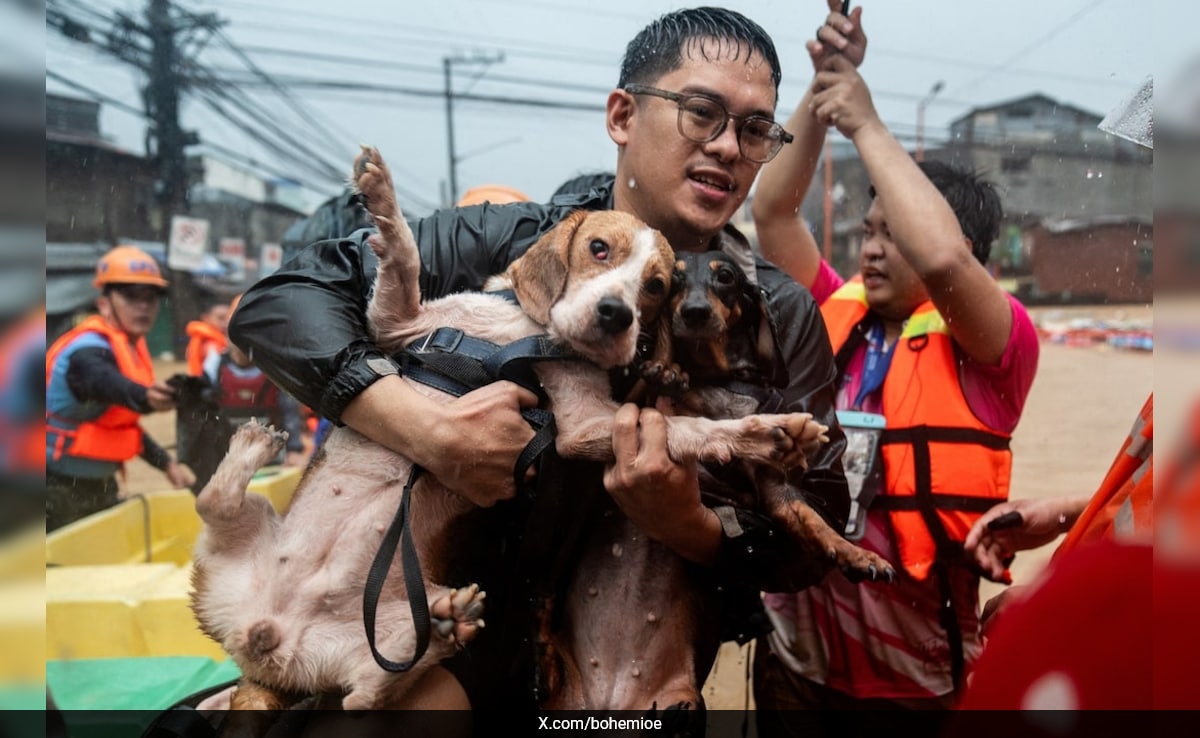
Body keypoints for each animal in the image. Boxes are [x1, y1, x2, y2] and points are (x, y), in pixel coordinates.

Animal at [189, 144, 835, 715]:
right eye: (598, 248)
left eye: (656, 286)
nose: (616, 316)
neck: (529, 335)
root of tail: (267, 645)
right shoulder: (399, 323)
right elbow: (403, 257)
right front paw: (381, 195)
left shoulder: (581, 423)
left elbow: (686, 428)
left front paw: (766, 433)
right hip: (229, 557)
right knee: (213, 506)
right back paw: (252, 449)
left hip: (361, 644)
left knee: (363, 693)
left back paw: (443, 624)